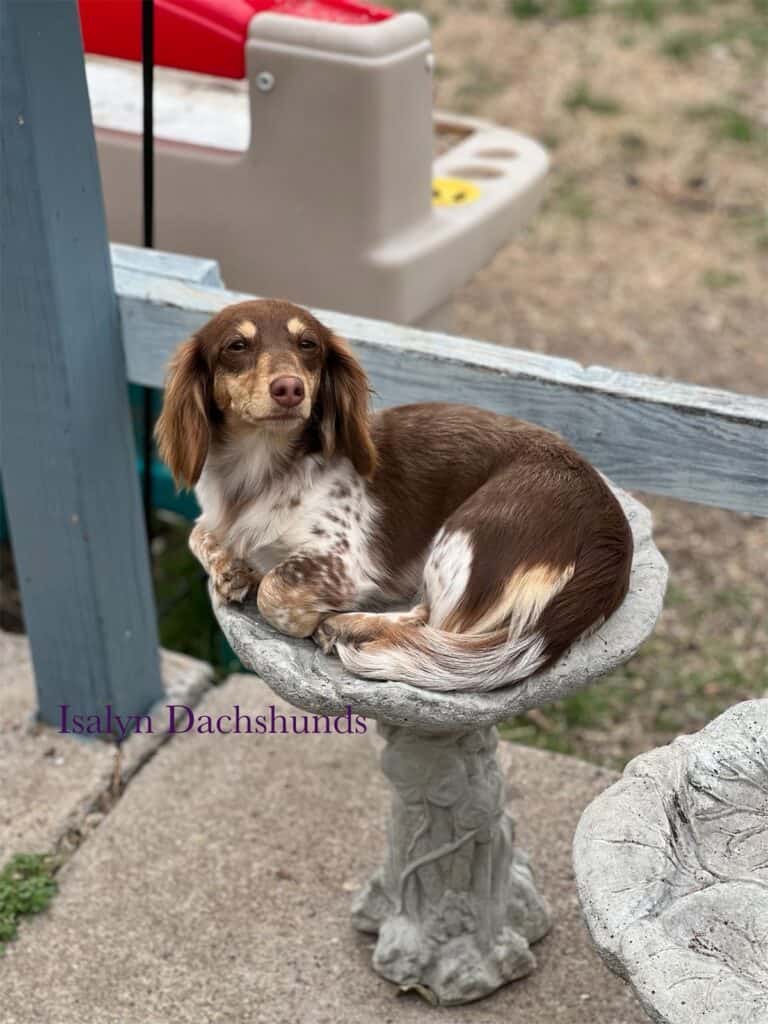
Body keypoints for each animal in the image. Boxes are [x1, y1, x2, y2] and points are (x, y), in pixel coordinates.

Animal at [154, 299, 630, 692]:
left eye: (308, 344)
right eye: (236, 346)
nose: (289, 388)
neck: (261, 473)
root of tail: (610, 532)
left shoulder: (341, 563)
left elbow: (275, 590)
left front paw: (300, 608)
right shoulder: (216, 519)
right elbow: (200, 535)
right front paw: (231, 570)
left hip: (464, 534)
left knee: (433, 623)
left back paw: (346, 626)